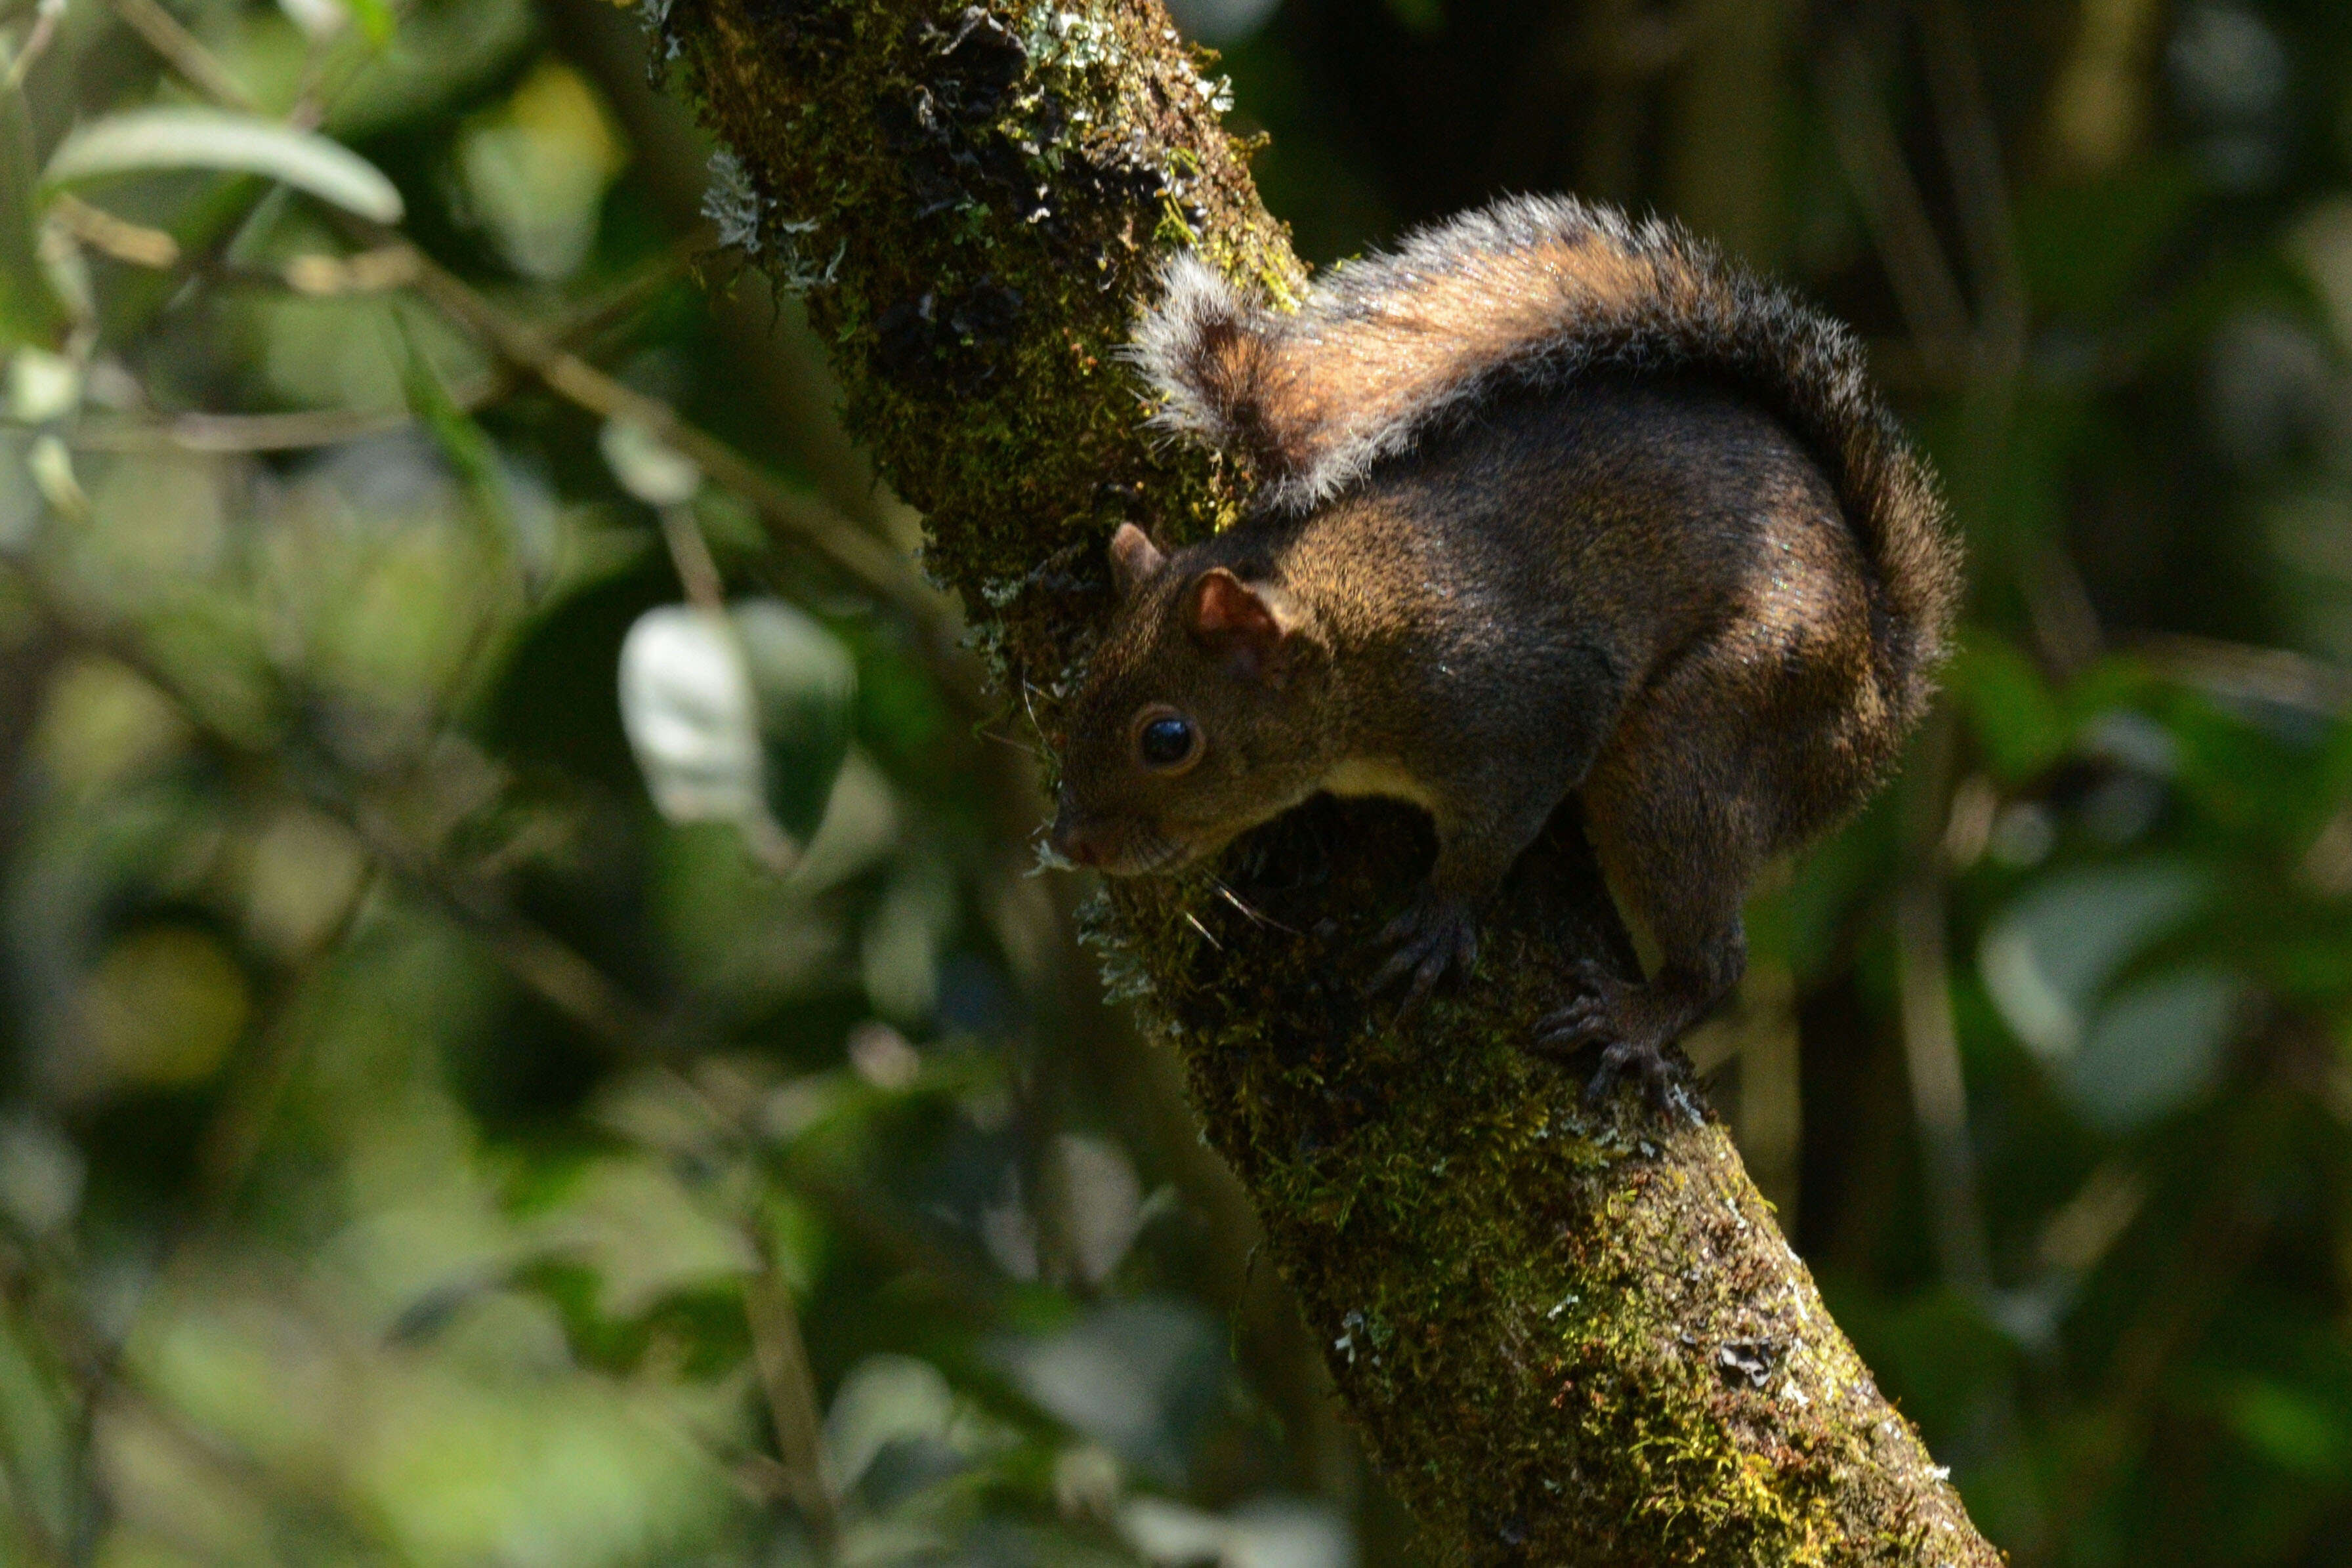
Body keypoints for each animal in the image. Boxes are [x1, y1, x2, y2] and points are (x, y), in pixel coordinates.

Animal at [1049, 196, 1966, 1105]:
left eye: (1167, 739)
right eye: (1079, 687)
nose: (1067, 844)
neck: (1345, 633)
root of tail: (1886, 679)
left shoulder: (1520, 702)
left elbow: (1492, 832)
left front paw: (1440, 916)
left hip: (1702, 741)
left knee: (1713, 951)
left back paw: (1636, 1016)